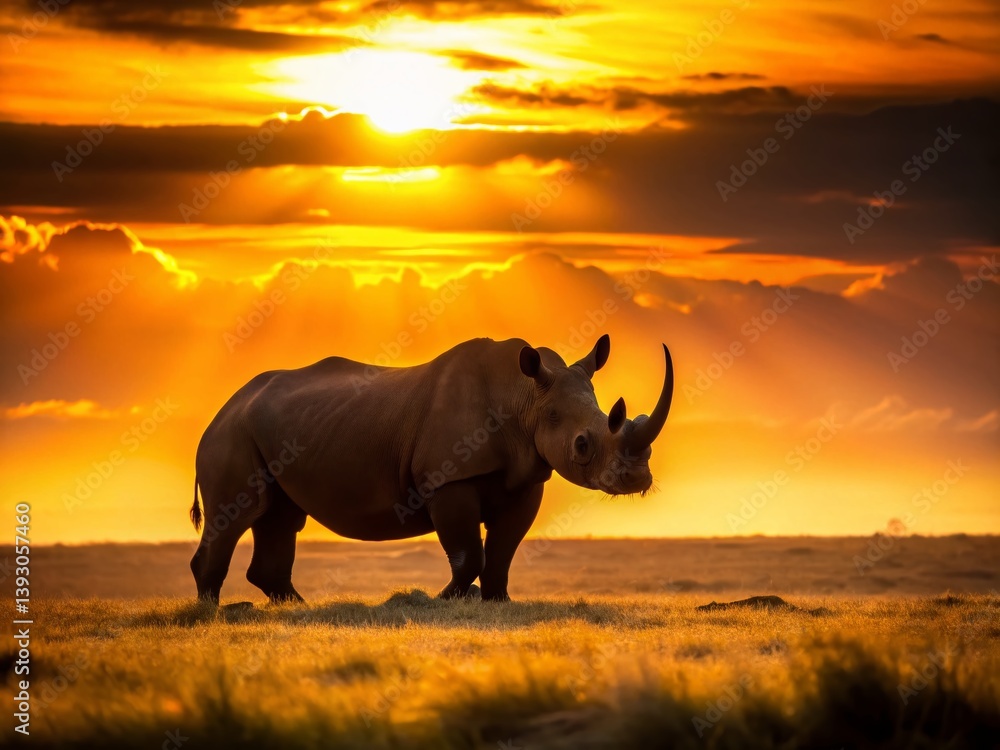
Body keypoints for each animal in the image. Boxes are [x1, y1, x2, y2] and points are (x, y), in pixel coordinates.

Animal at [190, 334, 673, 603]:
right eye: (582, 445)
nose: (635, 478)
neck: (525, 398)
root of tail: (222, 408)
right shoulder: (447, 478)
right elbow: (469, 554)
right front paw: (446, 601)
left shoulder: (526, 477)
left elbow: (502, 551)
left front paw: (497, 602)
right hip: (231, 434)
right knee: (238, 515)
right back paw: (211, 615)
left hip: (264, 430)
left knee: (279, 517)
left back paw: (297, 608)